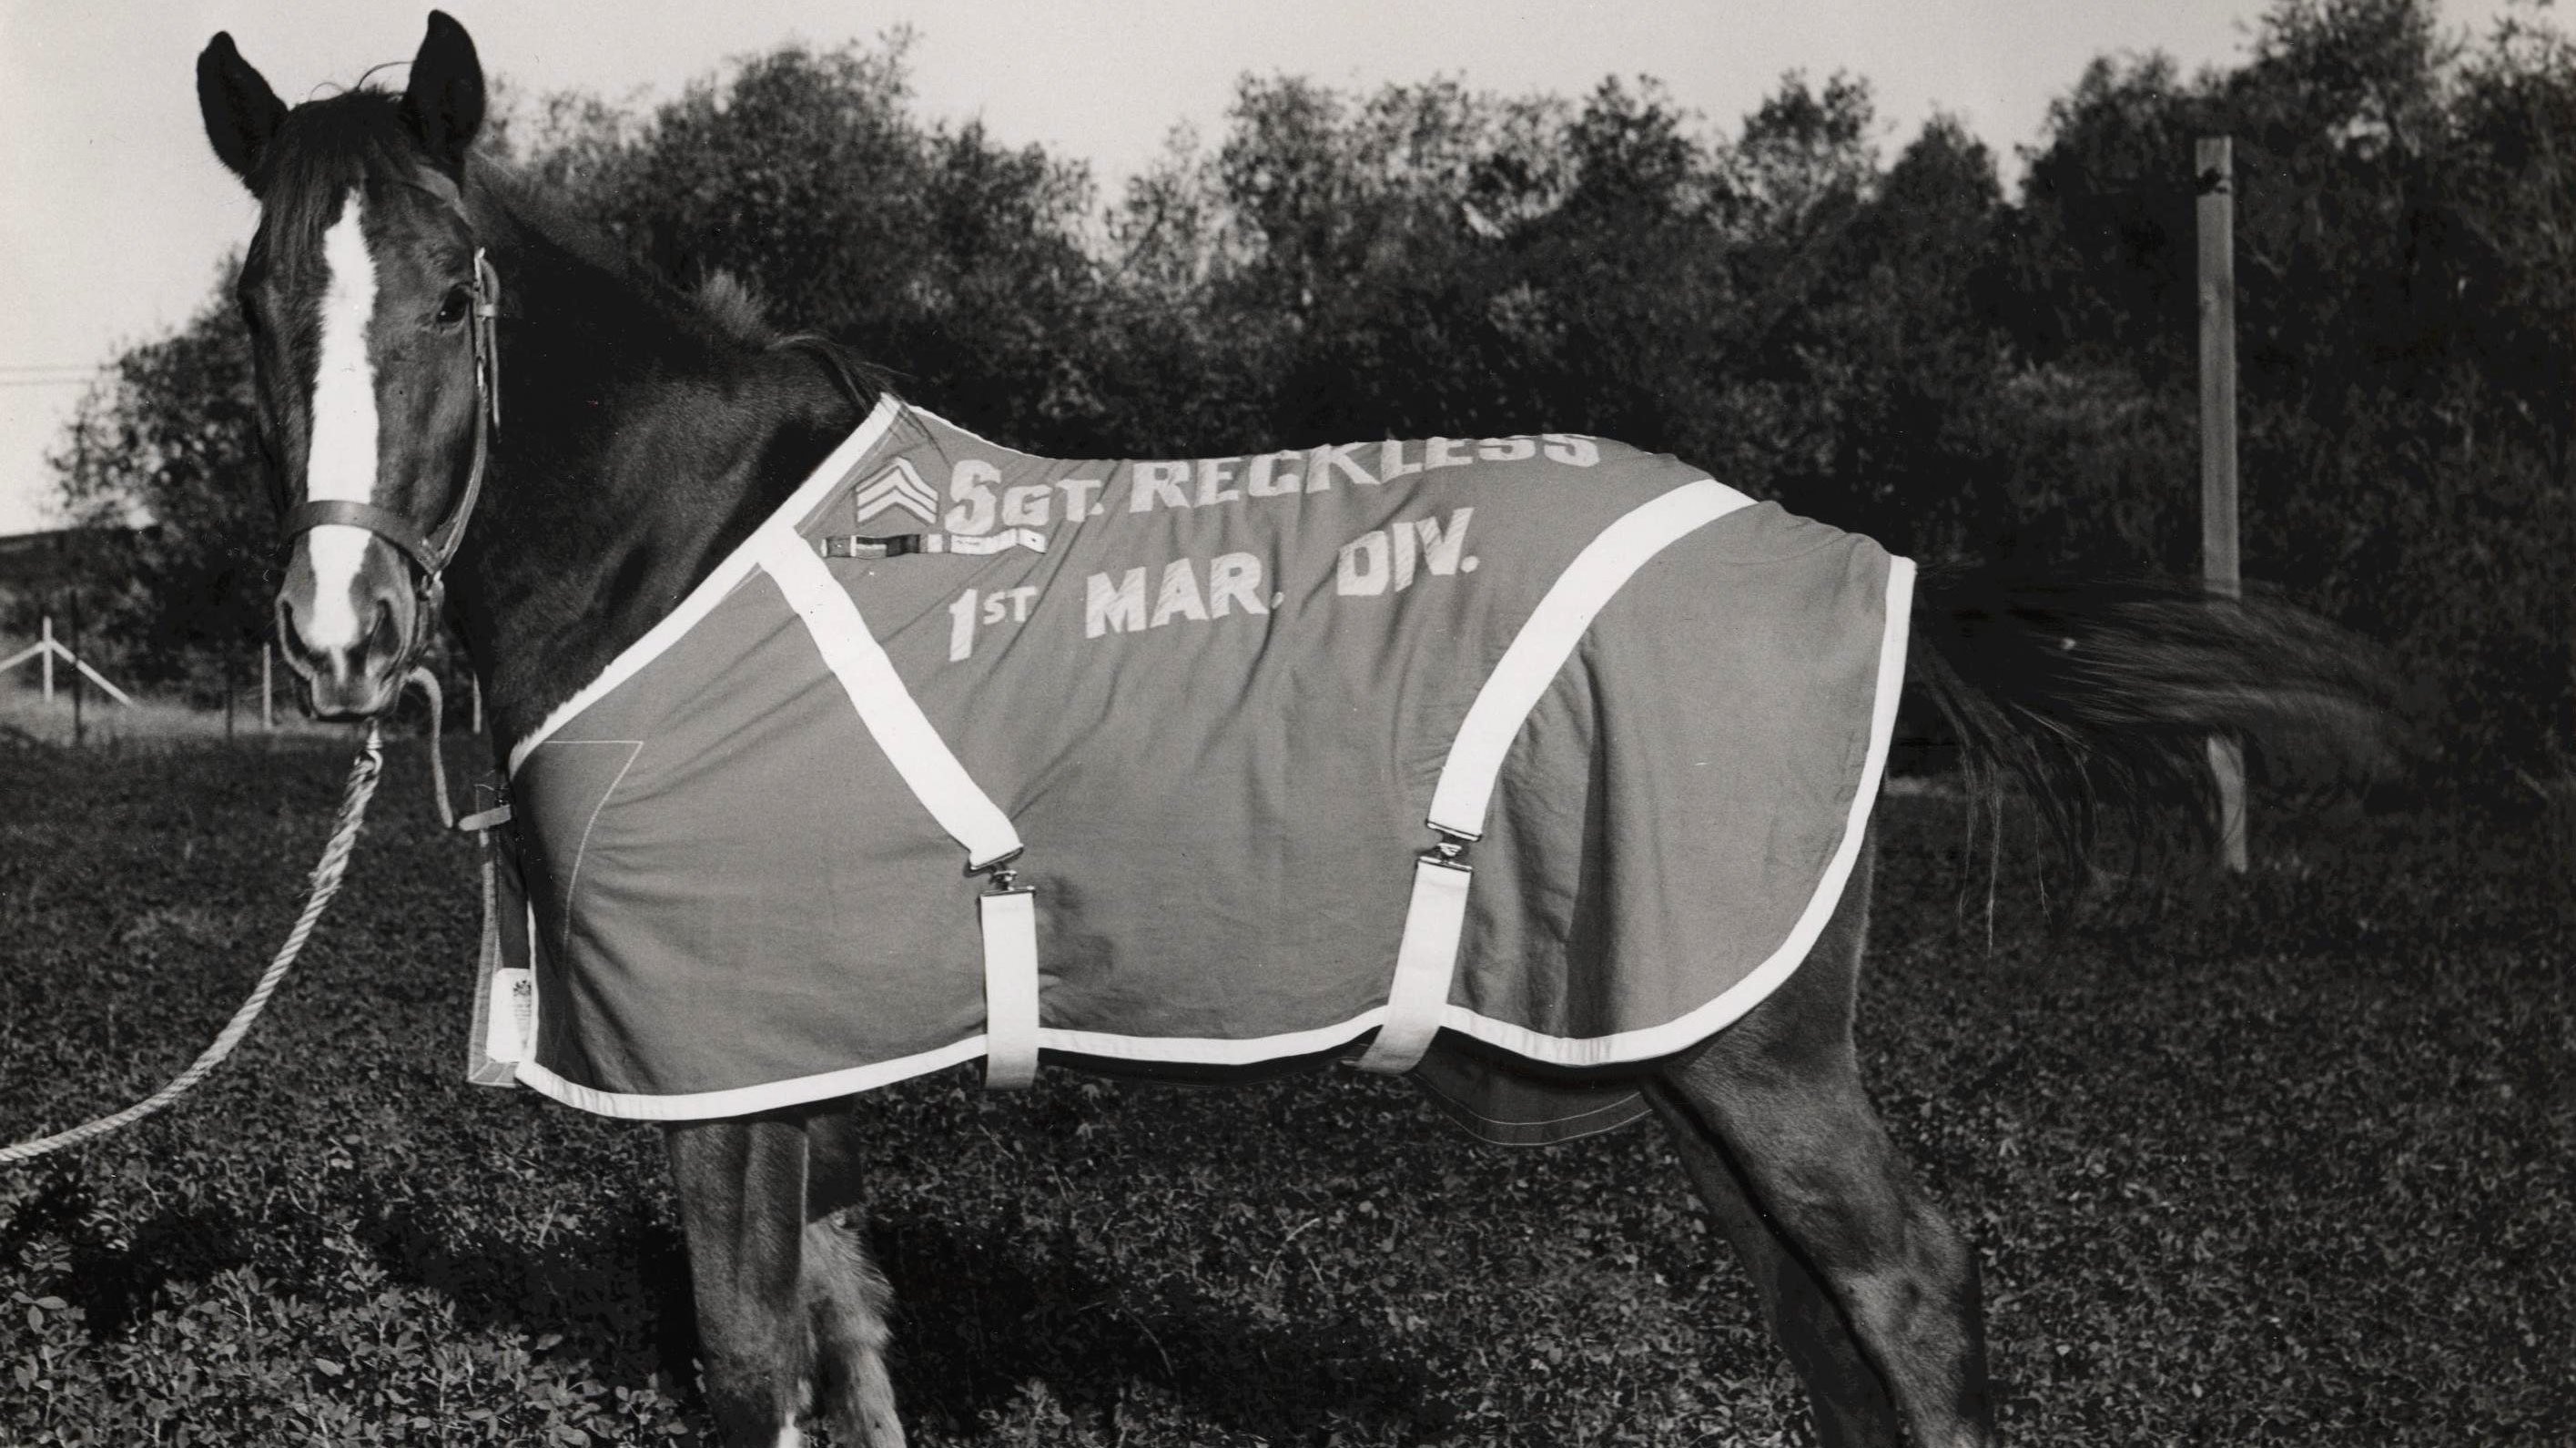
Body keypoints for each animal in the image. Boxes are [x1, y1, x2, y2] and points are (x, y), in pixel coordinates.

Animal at [196, 14, 2390, 1443]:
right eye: (252, 310)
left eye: (456, 294)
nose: (336, 631)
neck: (691, 545)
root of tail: (1860, 558)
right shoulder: (807, 1062)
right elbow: (851, 1344)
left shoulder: (724, 1077)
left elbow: (751, 1369)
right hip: (1688, 1038)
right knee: (1824, 1323)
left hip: (1749, 1048)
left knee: (1906, 1294)